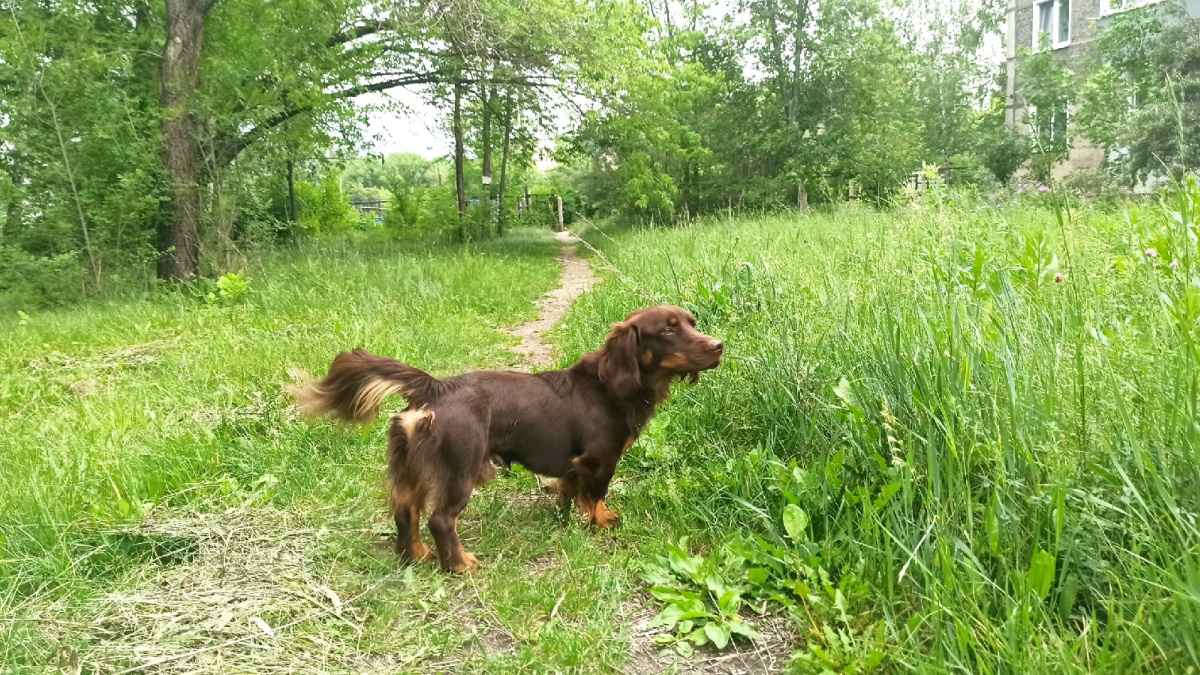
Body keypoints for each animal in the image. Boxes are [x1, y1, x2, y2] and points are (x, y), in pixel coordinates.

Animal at [290, 305, 720, 566]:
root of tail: (435, 388)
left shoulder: (574, 464)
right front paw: (601, 521)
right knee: (440, 520)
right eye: (668, 329)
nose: (720, 346)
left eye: (692, 322)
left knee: (405, 512)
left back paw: (418, 556)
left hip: (411, 467)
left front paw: (565, 515)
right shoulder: (600, 461)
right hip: (461, 468)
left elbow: (568, 490)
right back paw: (460, 565)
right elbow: (596, 497)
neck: (609, 386)